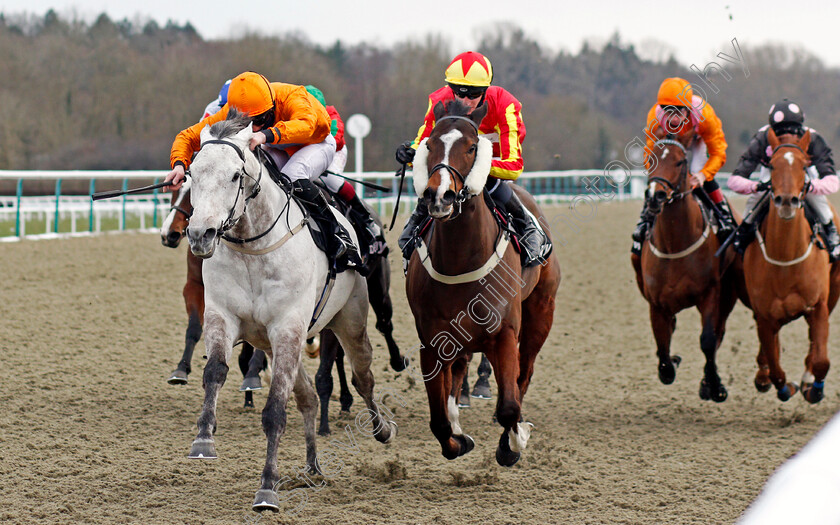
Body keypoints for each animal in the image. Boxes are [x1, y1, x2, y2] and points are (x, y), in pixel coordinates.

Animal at [184, 108, 394, 510]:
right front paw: (203, 439)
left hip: (349, 322)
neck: (252, 247)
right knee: (308, 397)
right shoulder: (223, 315)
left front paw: (267, 487)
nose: (200, 234)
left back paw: (381, 428)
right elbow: (215, 372)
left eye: (234, 175)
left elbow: (276, 411)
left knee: (363, 377)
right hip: (280, 344)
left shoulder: (288, 327)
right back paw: (312, 468)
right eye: (192, 174)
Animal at [406, 99, 560, 466]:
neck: (460, 258)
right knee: (458, 374)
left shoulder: (504, 333)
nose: (440, 196)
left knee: (524, 372)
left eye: (472, 146)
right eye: (429, 146)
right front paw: (459, 439)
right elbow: (438, 421)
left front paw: (513, 443)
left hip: (541, 311)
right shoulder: (432, 341)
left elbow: (508, 407)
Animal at [632, 128, 740, 402]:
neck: (674, 245)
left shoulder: (710, 292)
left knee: (719, 331)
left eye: (680, 161)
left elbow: (708, 340)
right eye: (651, 159)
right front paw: (671, 363)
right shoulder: (656, 303)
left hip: (729, 291)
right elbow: (662, 346)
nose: (656, 196)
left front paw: (714, 386)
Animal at [740, 128, 840, 402]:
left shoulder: (818, 306)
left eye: (804, 165)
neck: (785, 260)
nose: (787, 201)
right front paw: (786, 387)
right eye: (772, 165)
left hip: (834, 291)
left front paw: (813, 388)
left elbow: (821, 361)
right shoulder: (764, 316)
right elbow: (776, 370)